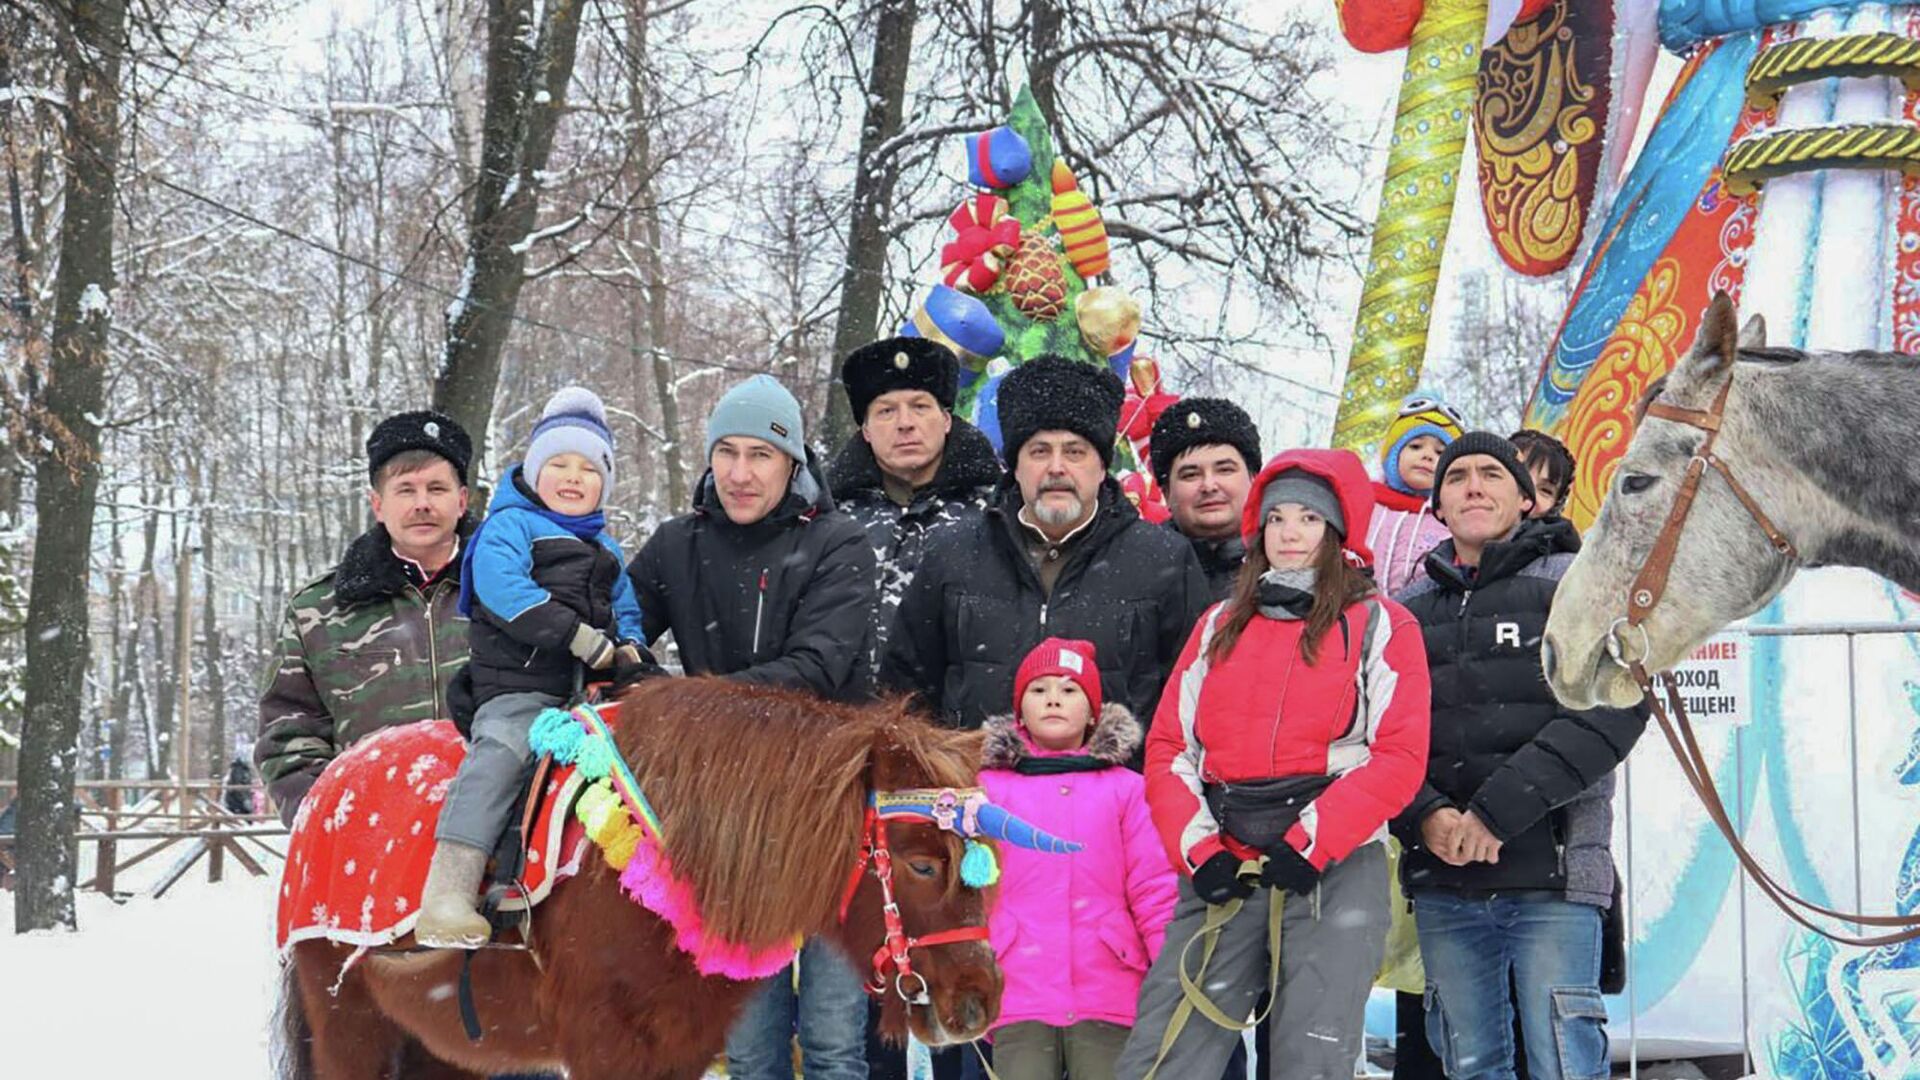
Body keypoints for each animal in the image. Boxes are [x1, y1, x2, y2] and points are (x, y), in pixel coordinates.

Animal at [284, 676, 1013, 1068]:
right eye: (924, 863)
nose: (977, 1003)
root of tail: (331, 778)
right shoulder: (604, 1047)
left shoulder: (681, 1049)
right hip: (349, 1024)